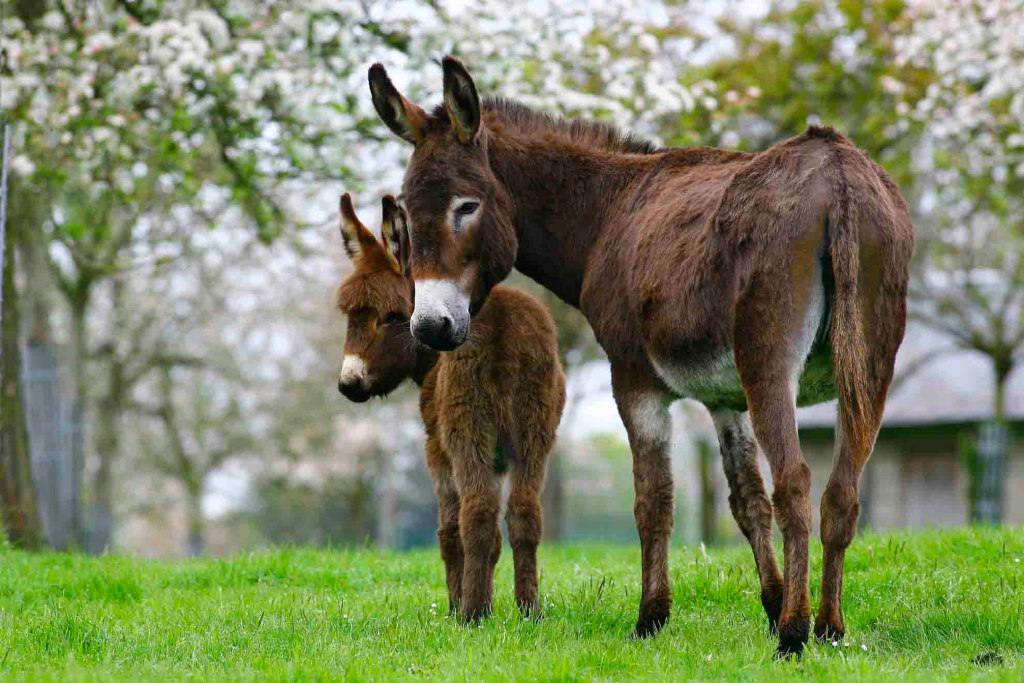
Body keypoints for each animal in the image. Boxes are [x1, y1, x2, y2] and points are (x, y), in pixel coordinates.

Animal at [335, 193, 566, 622]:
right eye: (350, 317)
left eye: (390, 317)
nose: (349, 384)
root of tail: (507, 325)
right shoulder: (504, 455)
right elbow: (496, 538)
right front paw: (489, 600)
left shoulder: (437, 449)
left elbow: (449, 531)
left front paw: (460, 603)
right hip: (536, 430)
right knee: (525, 514)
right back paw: (529, 611)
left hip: (468, 427)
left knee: (476, 513)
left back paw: (470, 614)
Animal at [365, 56, 913, 657]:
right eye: (406, 216)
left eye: (466, 207)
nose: (431, 328)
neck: (609, 212)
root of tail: (836, 167)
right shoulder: (726, 398)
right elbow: (747, 502)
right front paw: (770, 604)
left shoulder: (634, 380)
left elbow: (653, 502)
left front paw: (651, 618)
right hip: (872, 370)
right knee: (841, 494)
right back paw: (829, 628)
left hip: (771, 365)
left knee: (796, 483)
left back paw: (795, 636)